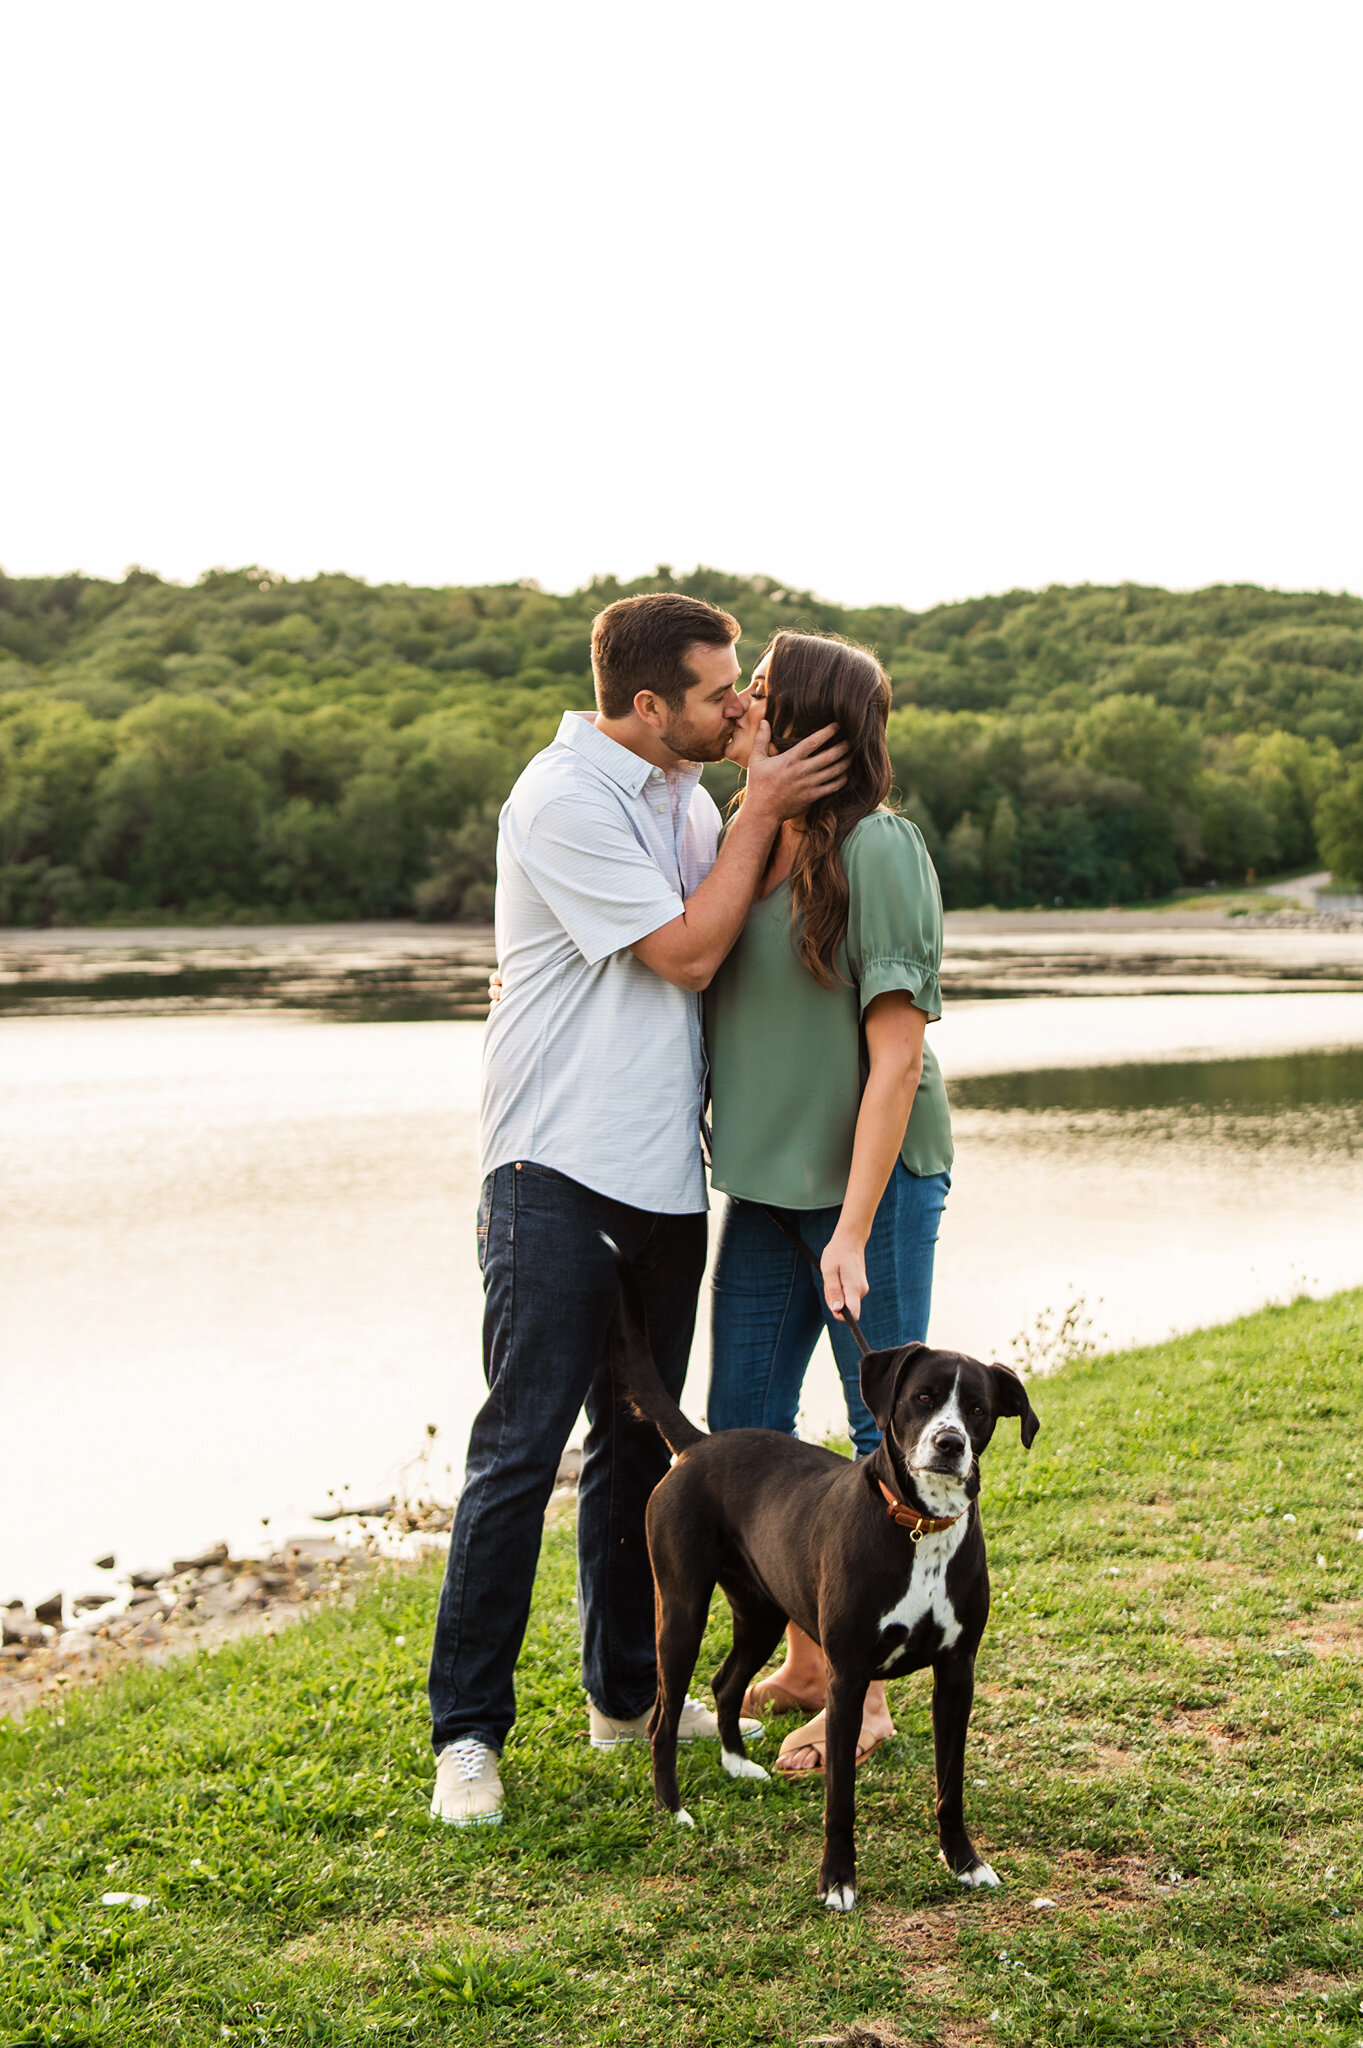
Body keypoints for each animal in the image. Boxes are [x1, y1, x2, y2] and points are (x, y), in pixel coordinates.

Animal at [605, 1253, 1039, 1908]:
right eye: (923, 1397)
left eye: (979, 1410)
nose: (949, 1443)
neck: (919, 1528)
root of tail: (699, 1444)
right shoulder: (848, 1676)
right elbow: (841, 1797)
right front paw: (837, 1880)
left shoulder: (956, 1673)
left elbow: (950, 1784)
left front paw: (964, 1862)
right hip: (680, 1609)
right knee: (662, 1717)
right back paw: (671, 1809)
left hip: (760, 1612)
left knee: (726, 1682)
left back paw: (736, 1764)